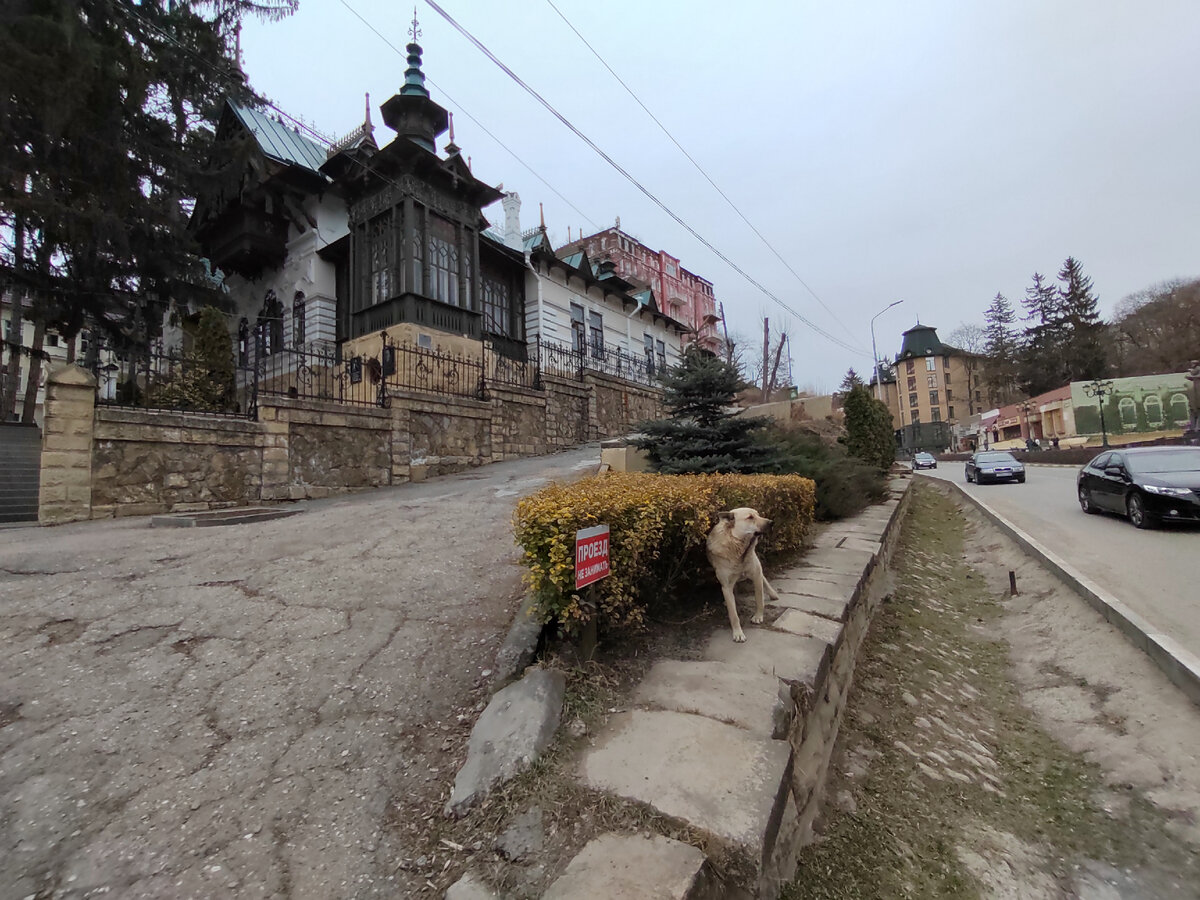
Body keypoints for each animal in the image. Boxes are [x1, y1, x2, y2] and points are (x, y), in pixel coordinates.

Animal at [700, 511, 777, 643]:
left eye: (758, 514)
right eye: (750, 517)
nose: (772, 522)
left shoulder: (756, 575)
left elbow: (759, 599)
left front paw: (758, 616)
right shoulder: (726, 586)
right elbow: (733, 614)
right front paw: (738, 633)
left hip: (757, 567)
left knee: (764, 579)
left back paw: (772, 593)